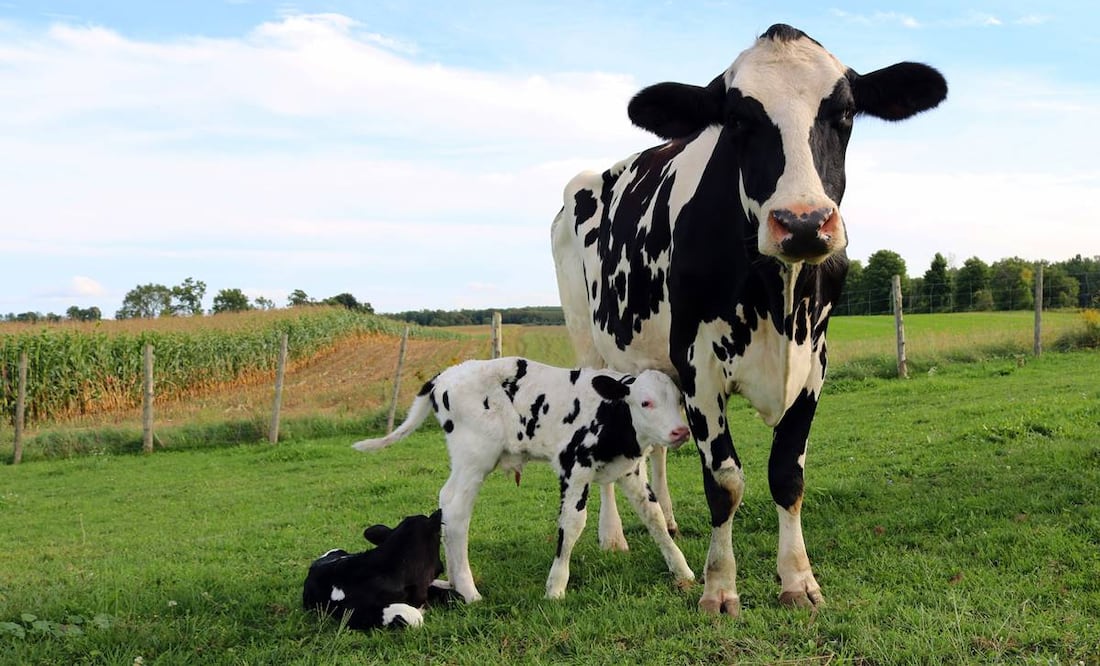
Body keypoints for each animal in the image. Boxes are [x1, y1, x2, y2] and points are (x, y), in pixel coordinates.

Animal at [352, 357, 696, 602]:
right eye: (645, 402)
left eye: (678, 400)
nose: (680, 431)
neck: (611, 415)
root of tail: (445, 375)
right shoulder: (573, 467)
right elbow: (572, 524)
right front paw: (556, 587)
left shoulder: (630, 471)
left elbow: (654, 517)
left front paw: (683, 571)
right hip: (474, 457)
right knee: (456, 510)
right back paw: (469, 590)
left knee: (445, 503)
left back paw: (453, 582)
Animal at [550, 24, 947, 616]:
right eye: (738, 119)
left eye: (845, 113)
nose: (803, 222)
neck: (776, 299)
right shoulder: (699, 366)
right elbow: (725, 482)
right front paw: (719, 587)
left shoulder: (814, 363)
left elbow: (787, 474)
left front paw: (798, 580)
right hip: (589, 342)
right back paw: (612, 535)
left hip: (653, 364)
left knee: (658, 447)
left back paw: (667, 517)